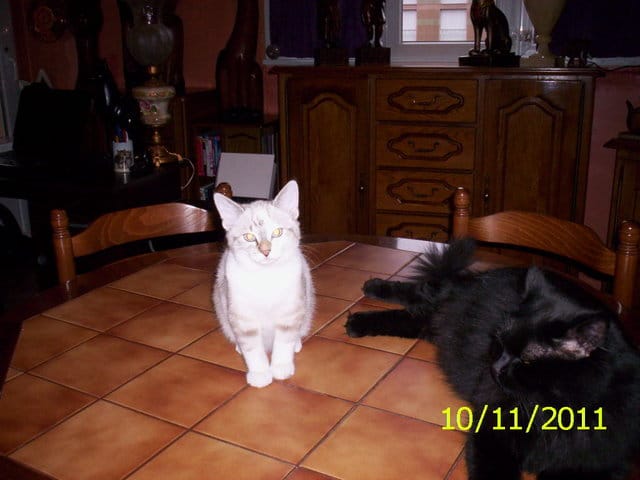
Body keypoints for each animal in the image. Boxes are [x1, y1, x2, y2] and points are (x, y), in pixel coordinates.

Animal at [212, 180, 314, 388]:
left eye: (277, 232)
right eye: (249, 237)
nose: (265, 251)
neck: (265, 278)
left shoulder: (291, 310)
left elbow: (284, 341)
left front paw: (281, 367)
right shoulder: (242, 317)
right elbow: (252, 349)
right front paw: (260, 374)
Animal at [346, 238, 640, 480]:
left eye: (527, 361)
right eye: (500, 344)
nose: (495, 368)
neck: (556, 412)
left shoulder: (597, 461)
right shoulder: (492, 432)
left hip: (434, 323)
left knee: (414, 310)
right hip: (440, 310)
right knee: (421, 292)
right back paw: (370, 295)